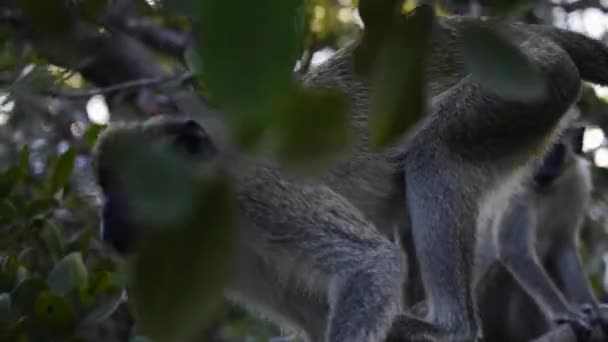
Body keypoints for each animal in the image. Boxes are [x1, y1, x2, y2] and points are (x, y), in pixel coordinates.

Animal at [91, 6, 608, 342]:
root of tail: (510, 31)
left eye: (132, 184)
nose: (107, 222)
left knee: (435, 154)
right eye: (105, 190)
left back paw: (450, 326)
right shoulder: (230, 263)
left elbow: (369, 266)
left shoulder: (256, 191)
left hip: (528, 84)